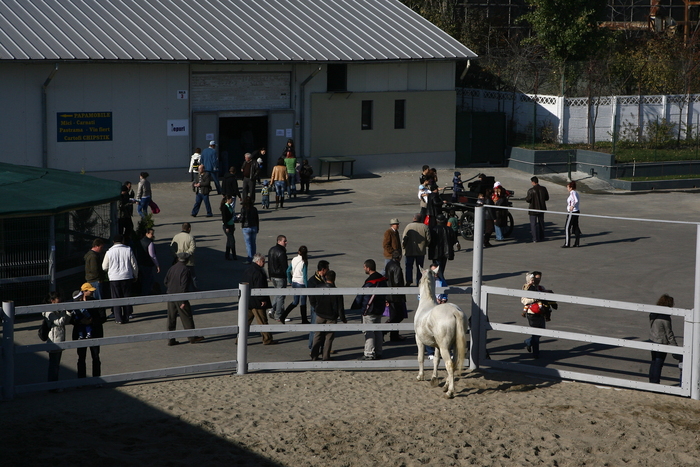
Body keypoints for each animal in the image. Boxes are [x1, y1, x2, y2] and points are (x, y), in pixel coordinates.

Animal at [412, 266, 468, 398]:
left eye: (419, 279)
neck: (426, 304)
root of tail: (455, 312)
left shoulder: (419, 339)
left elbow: (420, 357)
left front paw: (420, 376)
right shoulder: (437, 345)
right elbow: (436, 360)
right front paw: (434, 379)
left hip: (444, 347)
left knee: (449, 364)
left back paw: (449, 392)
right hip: (454, 345)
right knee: (454, 363)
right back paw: (446, 386)